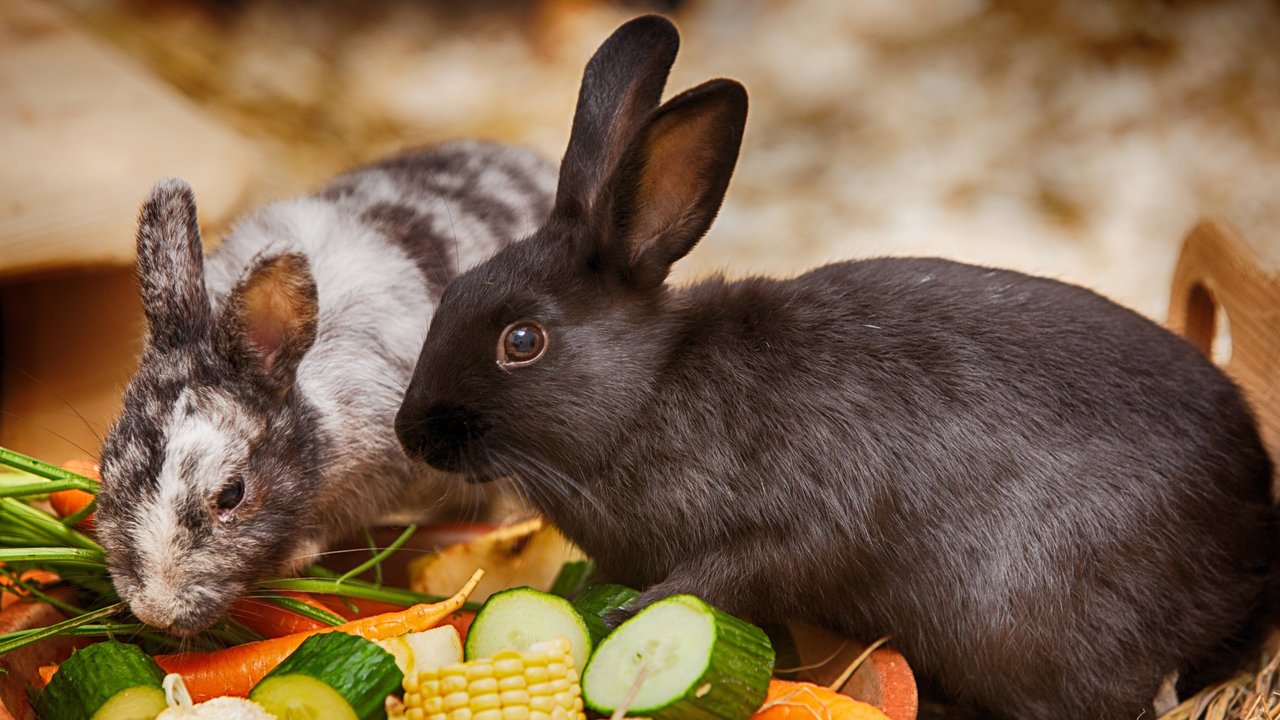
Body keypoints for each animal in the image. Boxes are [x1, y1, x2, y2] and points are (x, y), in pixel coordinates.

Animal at [393, 16, 1279, 720]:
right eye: (455, 291)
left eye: (522, 341)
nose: (412, 434)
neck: (647, 390)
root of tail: (1253, 530)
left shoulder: (792, 531)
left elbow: (717, 579)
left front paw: (625, 618)